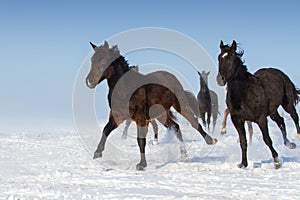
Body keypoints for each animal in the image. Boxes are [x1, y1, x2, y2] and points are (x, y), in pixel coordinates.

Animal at [85, 41, 217, 170]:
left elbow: (140, 140)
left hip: (180, 106)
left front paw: (142, 164)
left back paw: (211, 140)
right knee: (175, 126)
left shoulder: (140, 119)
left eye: (104, 60)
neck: (125, 90)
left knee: (193, 122)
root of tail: (173, 78)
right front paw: (97, 153)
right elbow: (106, 130)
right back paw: (183, 154)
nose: (89, 81)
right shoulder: (117, 116)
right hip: (161, 115)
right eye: (92, 60)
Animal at [217, 40, 298, 169]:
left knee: (294, 116)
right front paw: (243, 164)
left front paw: (276, 161)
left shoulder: (261, 118)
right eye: (219, 58)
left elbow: (267, 139)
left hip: (287, 104)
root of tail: (280, 73)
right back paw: (289, 144)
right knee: (280, 121)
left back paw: (298, 136)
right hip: (272, 111)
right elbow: (243, 141)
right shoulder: (237, 120)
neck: (244, 93)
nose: (221, 79)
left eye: (232, 58)